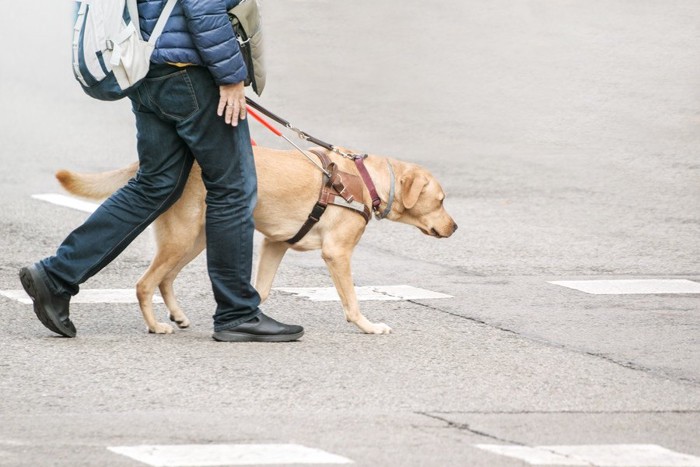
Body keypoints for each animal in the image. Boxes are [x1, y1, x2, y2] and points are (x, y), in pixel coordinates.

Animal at [56, 146, 460, 332]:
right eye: (441, 201)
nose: (455, 228)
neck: (363, 180)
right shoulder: (337, 254)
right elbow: (352, 302)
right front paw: (368, 326)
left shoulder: (275, 244)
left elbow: (260, 290)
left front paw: (248, 317)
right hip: (182, 238)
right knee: (145, 283)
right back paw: (156, 325)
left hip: (195, 239)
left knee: (165, 279)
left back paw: (178, 315)